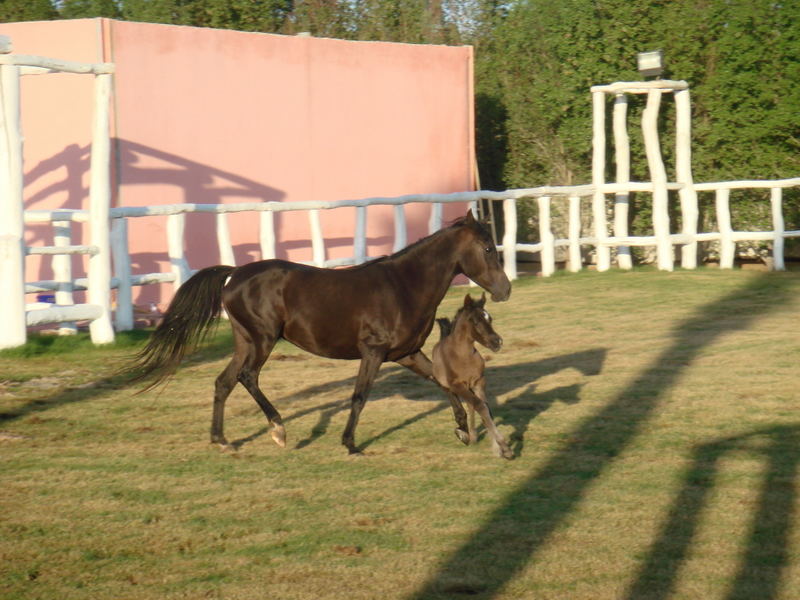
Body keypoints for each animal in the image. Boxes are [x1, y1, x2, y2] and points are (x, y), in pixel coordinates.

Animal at [432, 292, 512, 458]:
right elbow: (480, 406)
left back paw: (474, 436)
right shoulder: (457, 386)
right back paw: (469, 435)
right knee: (467, 403)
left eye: (490, 318)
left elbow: (484, 408)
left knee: (470, 405)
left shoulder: (479, 382)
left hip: (470, 387)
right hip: (449, 387)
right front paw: (504, 448)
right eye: (475, 321)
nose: (497, 342)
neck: (463, 356)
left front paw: (497, 448)